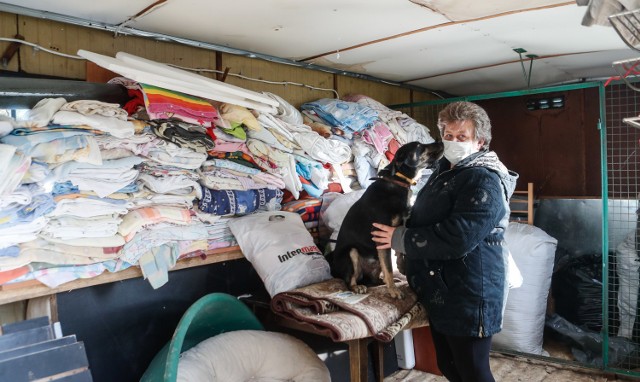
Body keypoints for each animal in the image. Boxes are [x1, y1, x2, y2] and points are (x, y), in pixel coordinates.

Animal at [328, 140, 442, 298]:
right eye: (419, 146)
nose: (442, 142)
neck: (398, 182)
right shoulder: (381, 236)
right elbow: (389, 267)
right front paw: (394, 291)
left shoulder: (397, 228)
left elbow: (399, 251)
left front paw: (401, 267)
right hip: (352, 253)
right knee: (349, 280)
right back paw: (358, 287)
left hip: (375, 262)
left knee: (374, 278)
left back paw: (382, 281)